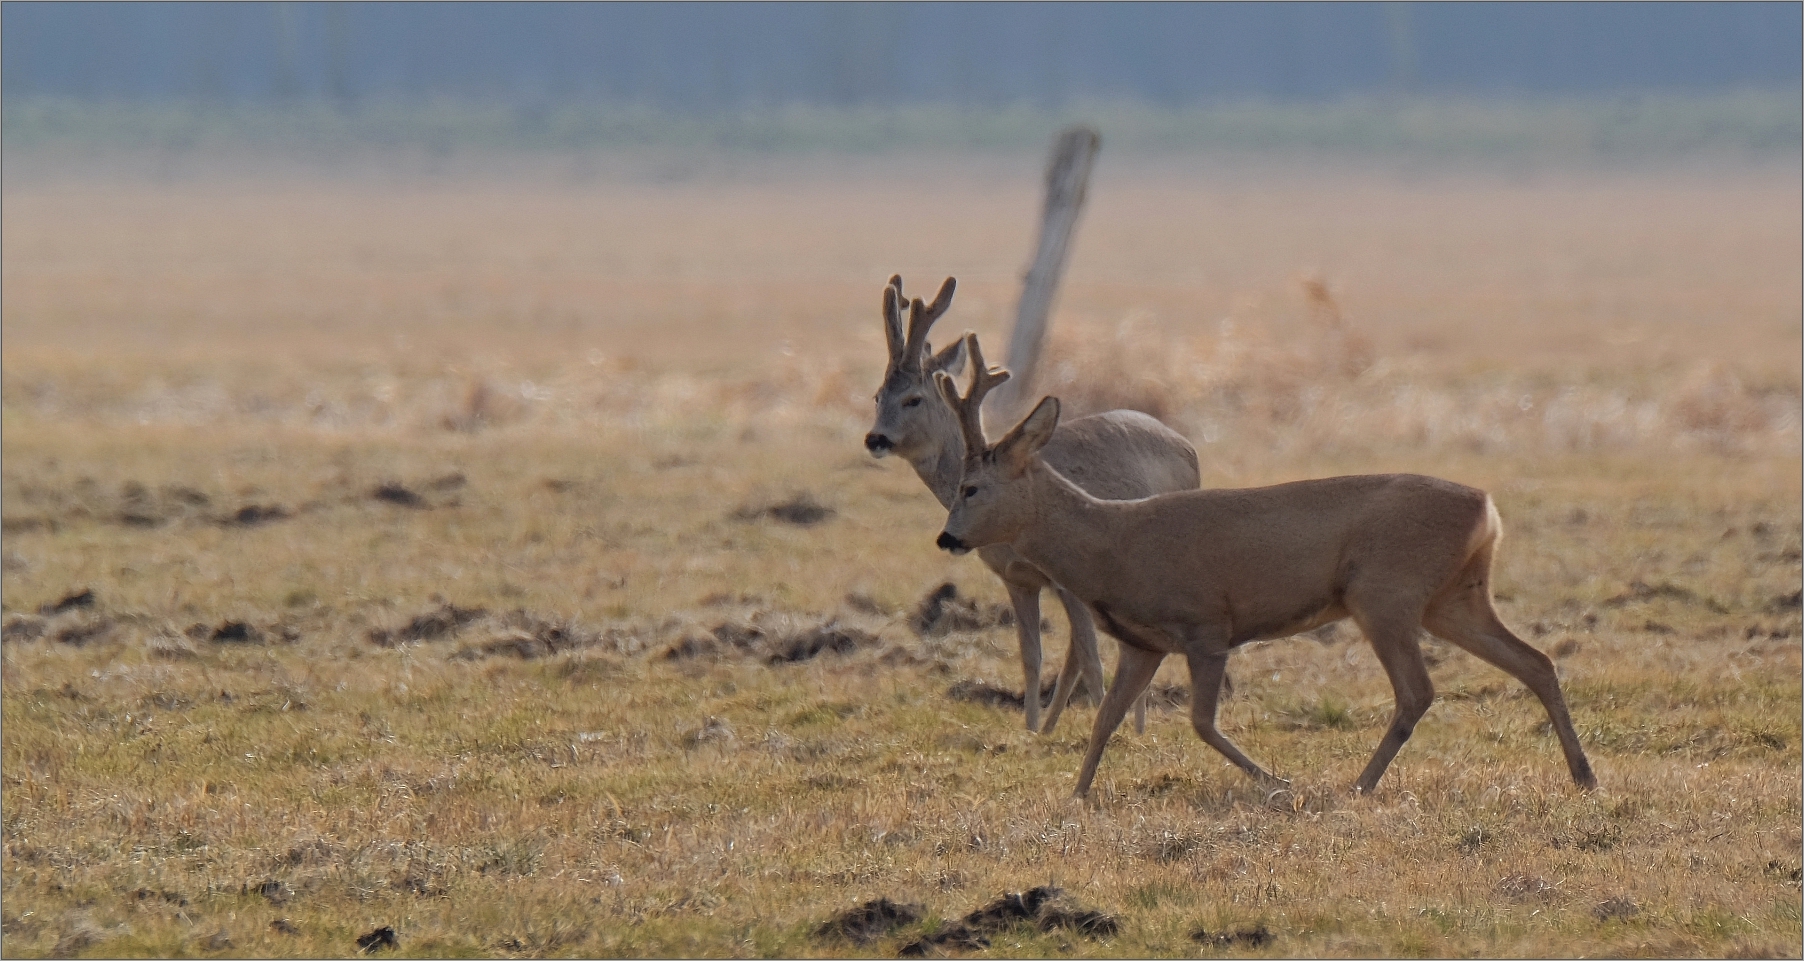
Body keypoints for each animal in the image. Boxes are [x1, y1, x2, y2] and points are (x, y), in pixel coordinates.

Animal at [869, 277, 1205, 735]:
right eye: (877, 395)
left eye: (914, 399)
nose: (874, 439)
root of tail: (1188, 447)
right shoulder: (1016, 578)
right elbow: (1033, 656)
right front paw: (1031, 731)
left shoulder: (1068, 579)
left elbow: (1089, 656)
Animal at [930, 340, 1594, 796]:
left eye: (971, 487)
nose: (946, 537)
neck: (1110, 547)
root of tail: (1488, 509)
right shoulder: (1143, 643)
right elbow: (1105, 720)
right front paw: (1077, 794)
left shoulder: (1205, 624)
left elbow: (1200, 722)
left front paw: (1276, 782)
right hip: (1454, 597)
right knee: (1535, 661)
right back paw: (1583, 775)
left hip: (1385, 591)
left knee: (1418, 691)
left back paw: (1359, 784)